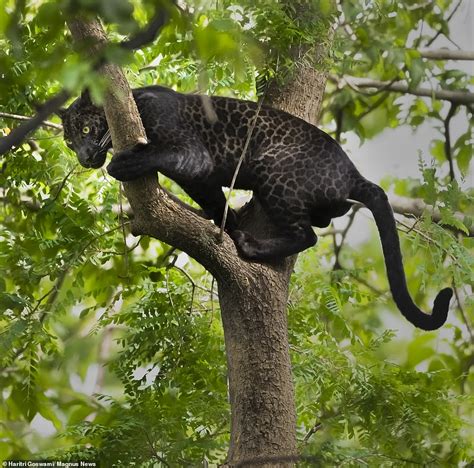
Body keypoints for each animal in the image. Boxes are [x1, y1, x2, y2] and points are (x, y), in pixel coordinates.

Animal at [57, 87, 454, 330]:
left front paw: (122, 164)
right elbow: (216, 203)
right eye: (70, 141)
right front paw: (228, 224)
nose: (84, 157)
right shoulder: (200, 178)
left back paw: (253, 247)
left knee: (307, 235)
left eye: (86, 129)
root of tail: (354, 174)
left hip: (272, 170)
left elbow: (156, 155)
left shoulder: (192, 154)